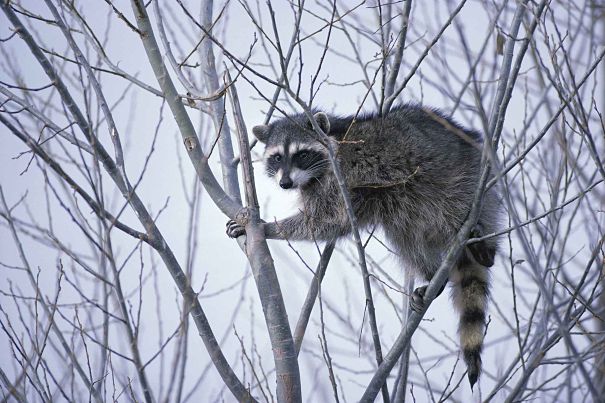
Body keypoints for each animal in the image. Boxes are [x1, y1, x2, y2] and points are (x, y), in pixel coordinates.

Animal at [226, 104, 500, 388]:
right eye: (278, 157)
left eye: (302, 154)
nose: (285, 183)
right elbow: (332, 224)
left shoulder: (341, 177)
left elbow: (325, 220)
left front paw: (268, 227)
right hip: (404, 205)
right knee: (405, 236)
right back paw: (432, 274)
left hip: (461, 179)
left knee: (454, 206)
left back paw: (484, 247)